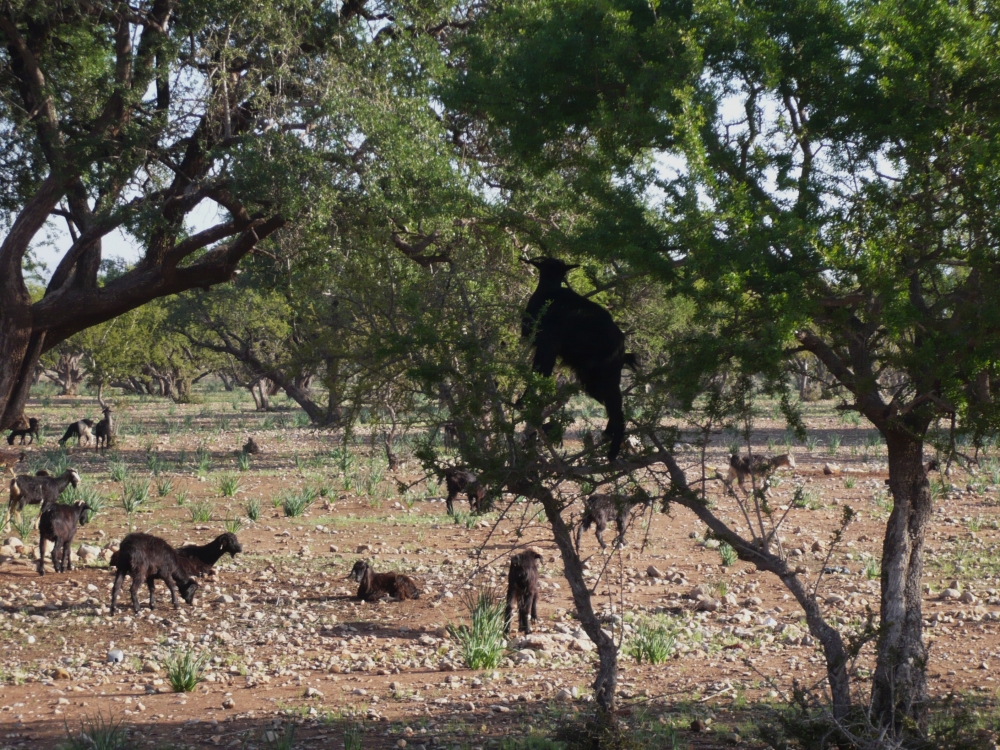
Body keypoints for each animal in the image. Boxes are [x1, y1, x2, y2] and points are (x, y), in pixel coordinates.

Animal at [520, 256, 636, 462]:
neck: (550, 291)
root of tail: (622, 348)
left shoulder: (548, 344)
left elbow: (540, 372)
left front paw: (524, 401)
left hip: (606, 377)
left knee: (618, 410)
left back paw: (612, 452)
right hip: (592, 380)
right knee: (615, 408)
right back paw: (607, 435)